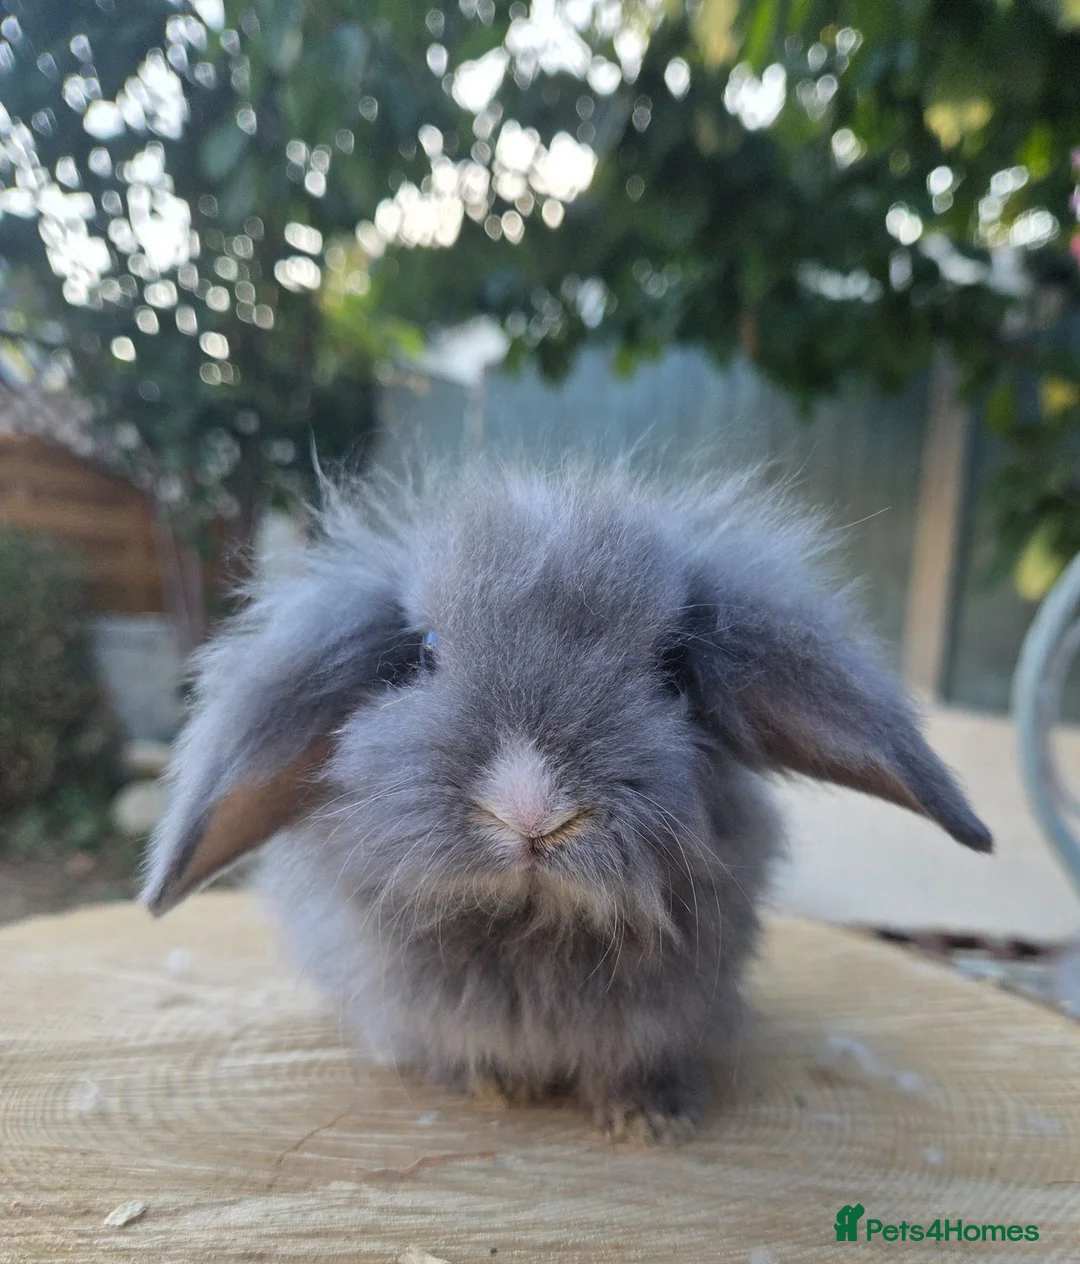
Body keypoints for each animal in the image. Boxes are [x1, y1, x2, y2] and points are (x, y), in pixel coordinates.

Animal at [141, 460, 991, 1143]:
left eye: (672, 673)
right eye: (424, 655)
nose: (530, 810)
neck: (535, 920)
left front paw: (649, 1122)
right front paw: (499, 1088)